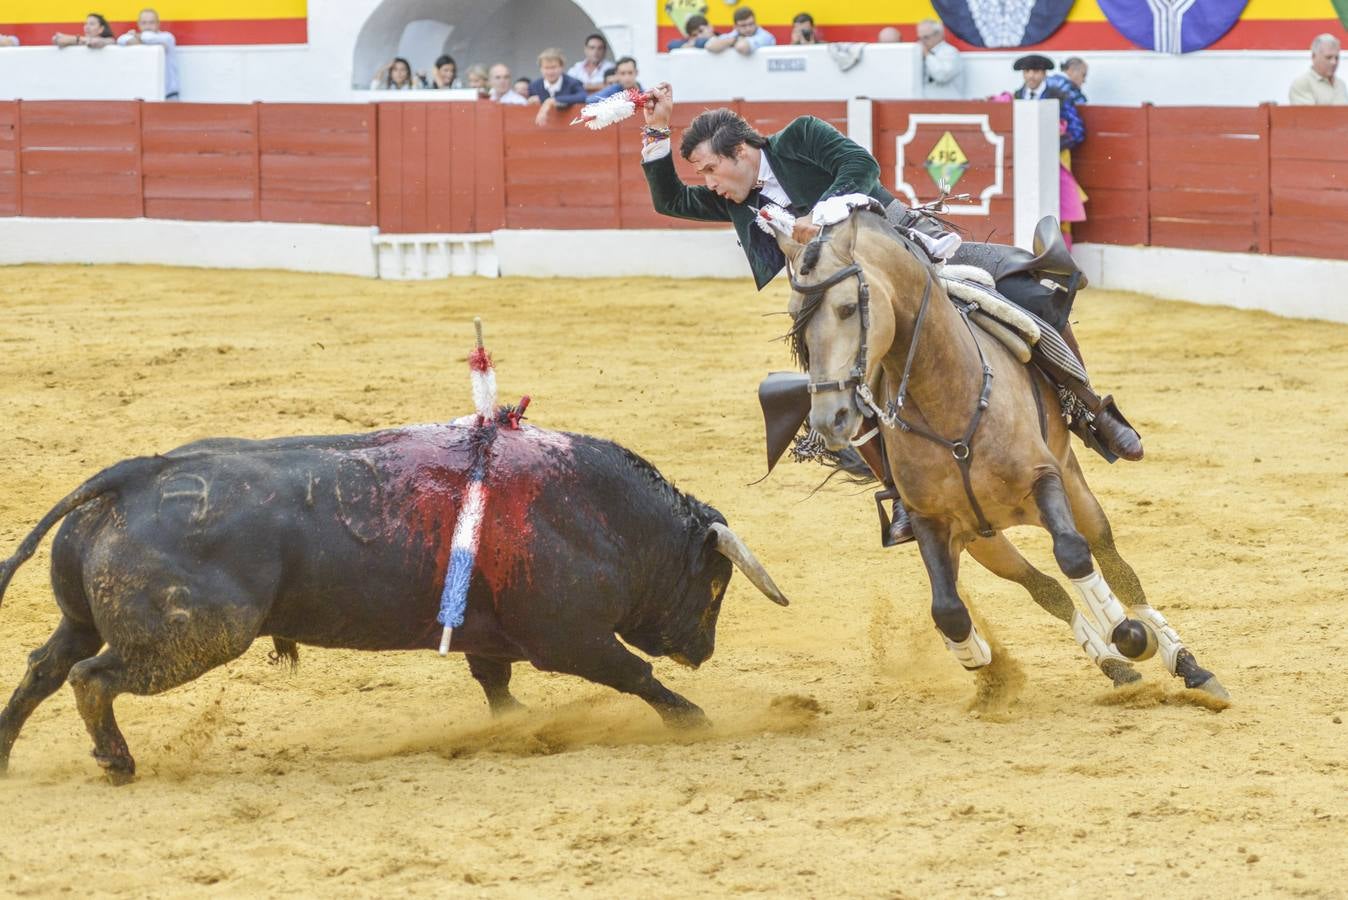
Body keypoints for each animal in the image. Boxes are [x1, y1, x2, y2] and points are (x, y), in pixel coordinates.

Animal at [0, 423, 787, 781]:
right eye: (714, 584)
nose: (703, 650)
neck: (605, 516)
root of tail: (135, 475)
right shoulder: (570, 638)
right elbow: (634, 675)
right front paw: (695, 719)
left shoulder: (490, 635)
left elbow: (495, 685)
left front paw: (517, 727)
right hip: (197, 637)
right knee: (90, 678)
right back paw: (117, 762)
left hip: (83, 618)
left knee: (45, 666)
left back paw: (7, 756)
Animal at [781, 206, 1234, 700]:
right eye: (796, 319)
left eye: (847, 308)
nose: (829, 419)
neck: (950, 407)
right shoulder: (928, 520)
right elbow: (948, 609)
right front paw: (976, 654)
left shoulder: (1045, 478)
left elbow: (1074, 554)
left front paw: (1130, 634)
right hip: (986, 540)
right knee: (1044, 588)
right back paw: (1114, 666)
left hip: (1074, 487)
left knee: (1113, 563)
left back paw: (1185, 663)